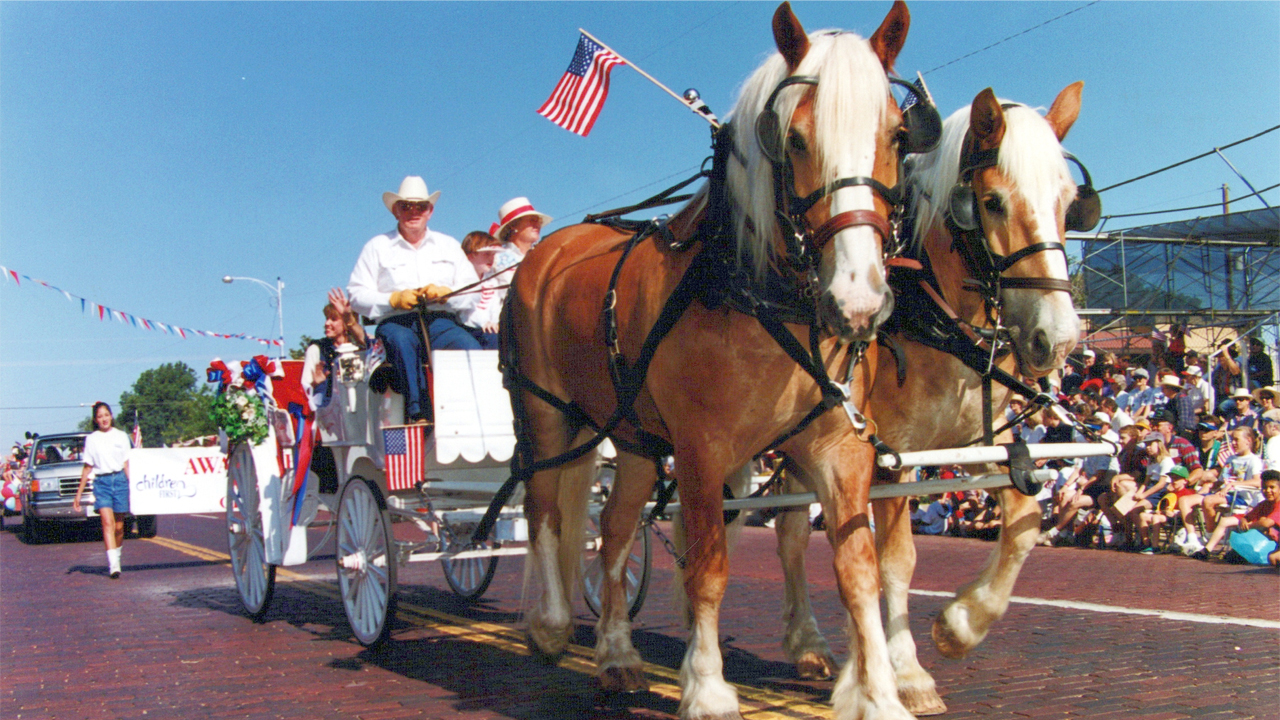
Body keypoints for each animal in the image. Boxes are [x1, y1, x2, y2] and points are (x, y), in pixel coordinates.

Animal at [504, 4, 926, 712]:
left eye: (897, 135)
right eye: (795, 139)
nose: (858, 298)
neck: (755, 290)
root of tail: (549, 248)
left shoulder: (840, 448)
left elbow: (858, 569)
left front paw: (881, 695)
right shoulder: (703, 450)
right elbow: (707, 568)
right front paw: (706, 688)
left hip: (633, 438)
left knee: (614, 532)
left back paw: (617, 655)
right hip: (548, 416)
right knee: (544, 509)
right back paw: (551, 624)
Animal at [757, 85, 1090, 712]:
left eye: (1068, 203)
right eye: (991, 202)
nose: (1055, 340)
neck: (934, 312)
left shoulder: (976, 442)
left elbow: (1027, 516)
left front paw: (962, 625)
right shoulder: (894, 456)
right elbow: (896, 561)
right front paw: (907, 672)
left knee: (791, 530)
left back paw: (812, 646)